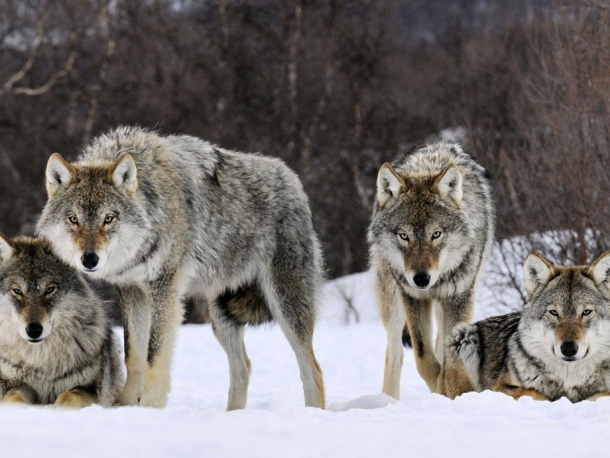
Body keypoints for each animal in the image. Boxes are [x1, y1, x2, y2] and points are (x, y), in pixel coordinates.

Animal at [0, 234, 123, 406]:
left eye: (50, 289)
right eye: (17, 291)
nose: (33, 330)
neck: (42, 361)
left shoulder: (90, 390)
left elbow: (67, 397)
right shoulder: (13, 384)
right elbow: (14, 398)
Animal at [36, 125, 324, 408]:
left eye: (108, 218)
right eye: (73, 219)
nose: (89, 259)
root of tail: (292, 178)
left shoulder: (165, 291)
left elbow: (154, 358)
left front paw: (149, 408)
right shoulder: (132, 291)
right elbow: (133, 356)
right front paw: (127, 407)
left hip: (285, 305)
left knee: (312, 369)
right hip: (221, 315)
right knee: (243, 366)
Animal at [366, 141, 494, 398]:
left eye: (436, 234)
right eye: (404, 236)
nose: (422, 279)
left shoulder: (459, 297)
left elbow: (448, 358)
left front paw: (450, 391)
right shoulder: (413, 297)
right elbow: (423, 357)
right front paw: (439, 388)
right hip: (392, 301)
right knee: (394, 352)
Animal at [446, 252, 610, 402]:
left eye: (586, 312)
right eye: (554, 312)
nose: (569, 348)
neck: (569, 379)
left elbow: (601, 394)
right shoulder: (501, 388)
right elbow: (536, 393)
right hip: (464, 336)